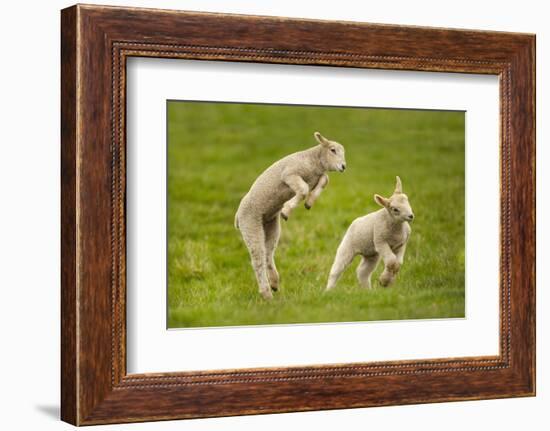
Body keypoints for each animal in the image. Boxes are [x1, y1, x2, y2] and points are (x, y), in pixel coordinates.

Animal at [235, 132, 348, 300]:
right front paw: (287, 210)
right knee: (258, 260)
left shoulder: (317, 176)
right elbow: (304, 188)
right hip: (250, 223)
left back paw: (274, 283)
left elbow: (324, 180)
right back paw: (266, 294)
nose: (343, 167)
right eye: (333, 150)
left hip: (270, 224)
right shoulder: (289, 174)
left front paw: (309, 203)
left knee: (268, 254)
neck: (313, 160)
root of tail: (237, 216)